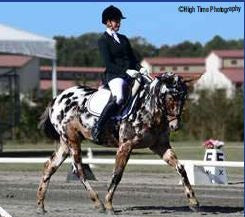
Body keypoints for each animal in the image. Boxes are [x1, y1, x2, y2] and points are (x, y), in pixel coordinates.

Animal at [37, 72, 200, 214]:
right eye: (170, 97)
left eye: (184, 97)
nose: (175, 126)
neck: (148, 109)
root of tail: (56, 98)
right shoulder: (125, 146)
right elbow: (117, 174)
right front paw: (109, 204)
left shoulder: (160, 146)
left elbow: (181, 168)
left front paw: (194, 202)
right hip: (72, 141)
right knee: (79, 170)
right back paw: (99, 203)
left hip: (66, 143)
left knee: (49, 166)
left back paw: (40, 206)